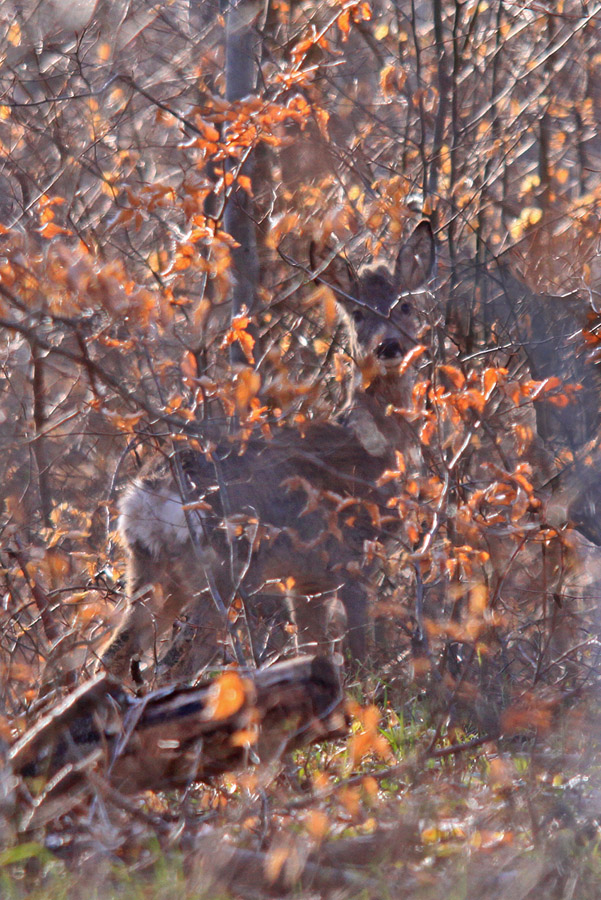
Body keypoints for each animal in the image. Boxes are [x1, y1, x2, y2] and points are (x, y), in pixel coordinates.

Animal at [99, 220, 436, 684]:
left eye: (404, 306)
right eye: (357, 313)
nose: (388, 347)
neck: (371, 449)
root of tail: (146, 495)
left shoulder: (306, 581)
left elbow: (312, 651)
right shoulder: (351, 557)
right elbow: (359, 657)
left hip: (151, 571)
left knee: (112, 655)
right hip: (228, 567)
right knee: (173, 666)